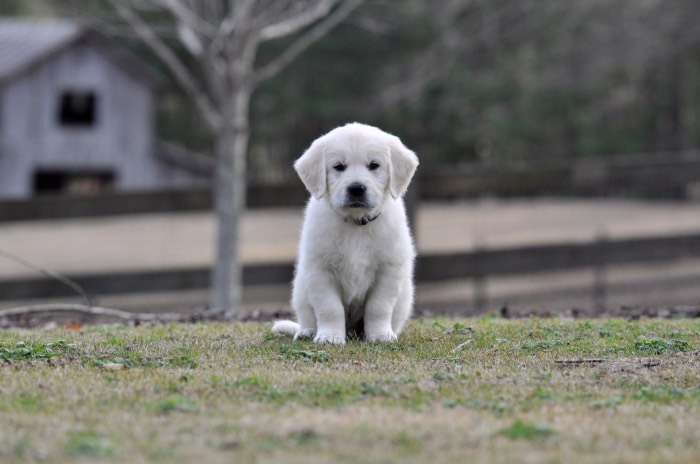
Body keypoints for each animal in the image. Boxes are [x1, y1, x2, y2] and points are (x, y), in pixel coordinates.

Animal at [270, 123, 418, 344]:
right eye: (339, 166)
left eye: (374, 165)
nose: (356, 188)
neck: (355, 224)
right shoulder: (319, 269)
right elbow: (329, 308)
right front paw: (329, 336)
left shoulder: (389, 269)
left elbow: (379, 306)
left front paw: (380, 335)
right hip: (300, 290)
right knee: (308, 318)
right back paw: (307, 332)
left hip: (405, 298)